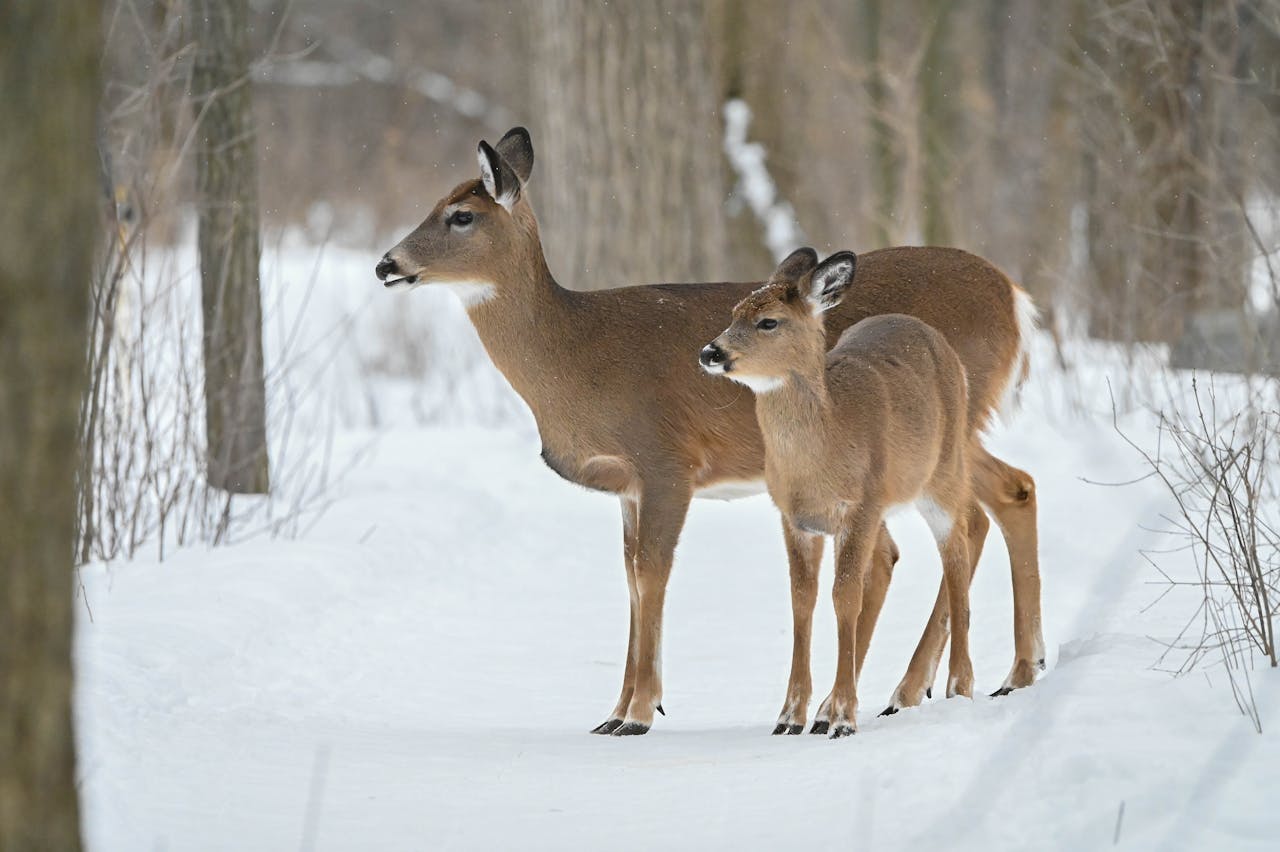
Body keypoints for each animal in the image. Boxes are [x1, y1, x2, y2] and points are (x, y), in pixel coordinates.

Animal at [700, 248, 982, 737]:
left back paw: (958, 686)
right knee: (892, 557)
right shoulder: (795, 517)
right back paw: (827, 708)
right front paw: (791, 715)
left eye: (768, 321)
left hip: (943, 472)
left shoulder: (861, 505)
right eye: (734, 312)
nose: (710, 352)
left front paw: (845, 718)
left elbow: (844, 596)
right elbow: (803, 598)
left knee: (956, 555)